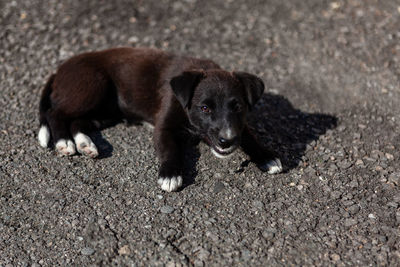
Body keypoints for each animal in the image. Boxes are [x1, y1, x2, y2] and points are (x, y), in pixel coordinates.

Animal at [36, 47, 282, 192]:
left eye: (238, 107)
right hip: (92, 87)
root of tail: (59, 70)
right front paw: (170, 174)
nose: (227, 141)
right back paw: (64, 143)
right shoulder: (164, 127)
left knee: (78, 121)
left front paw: (266, 156)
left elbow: (250, 137)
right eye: (204, 108)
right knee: (55, 114)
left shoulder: (239, 126)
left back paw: (85, 144)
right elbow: (169, 148)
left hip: (104, 112)